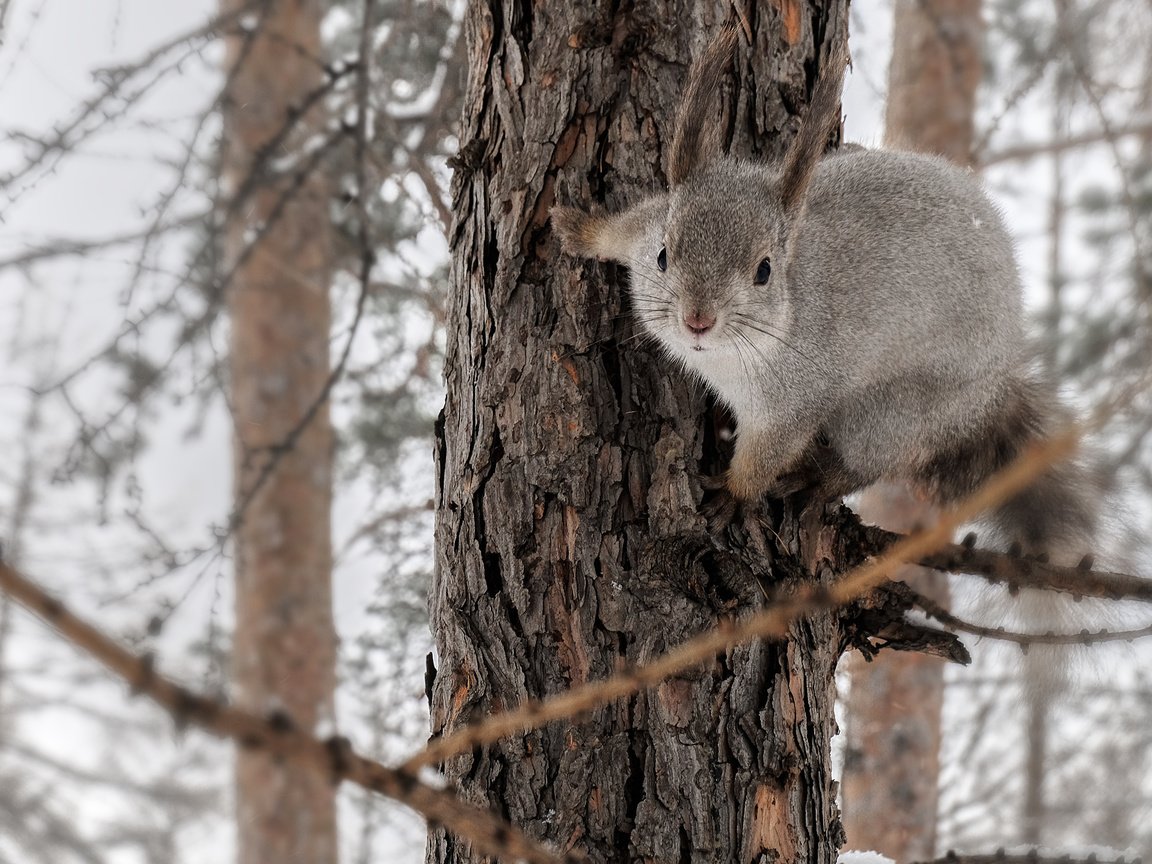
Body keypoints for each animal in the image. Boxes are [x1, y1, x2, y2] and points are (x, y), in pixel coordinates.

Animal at [552, 28, 1092, 562]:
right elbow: (622, 231)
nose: (697, 320)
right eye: (664, 255)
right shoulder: (645, 227)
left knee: (870, 462)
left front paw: (736, 496)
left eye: (764, 271)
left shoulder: (794, 399)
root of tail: (994, 389)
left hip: (891, 413)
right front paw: (579, 228)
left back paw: (820, 477)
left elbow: (766, 455)